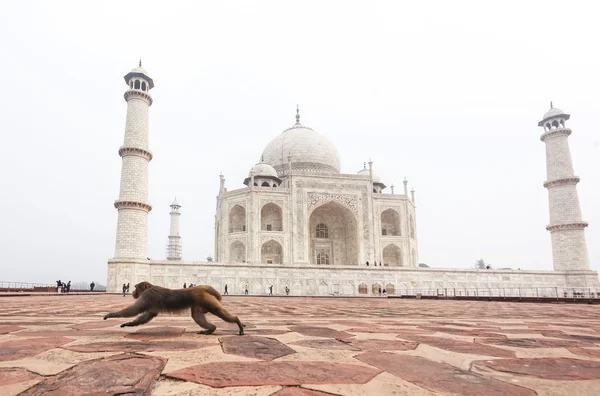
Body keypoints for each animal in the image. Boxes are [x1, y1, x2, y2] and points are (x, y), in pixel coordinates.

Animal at [102, 282, 244, 334]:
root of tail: (200, 288)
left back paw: (237, 321)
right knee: (197, 317)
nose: (132, 292)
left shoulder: (147, 296)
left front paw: (111, 314)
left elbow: (135, 310)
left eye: (136, 288)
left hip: (205, 299)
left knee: (217, 310)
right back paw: (211, 329)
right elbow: (148, 315)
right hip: (198, 302)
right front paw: (130, 323)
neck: (150, 287)